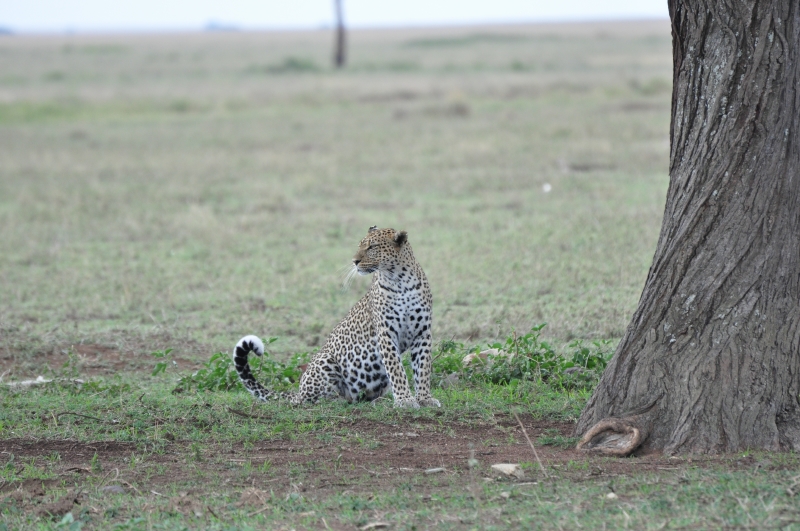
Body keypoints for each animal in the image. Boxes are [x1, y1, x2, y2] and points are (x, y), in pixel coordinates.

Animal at [233, 226, 440, 409]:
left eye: (372, 247)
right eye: (360, 245)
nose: (354, 261)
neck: (400, 280)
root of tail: (298, 391)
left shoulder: (422, 333)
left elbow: (422, 368)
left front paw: (424, 399)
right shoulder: (386, 333)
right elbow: (397, 370)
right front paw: (405, 400)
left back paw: (378, 401)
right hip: (325, 362)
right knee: (310, 400)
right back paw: (338, 401)